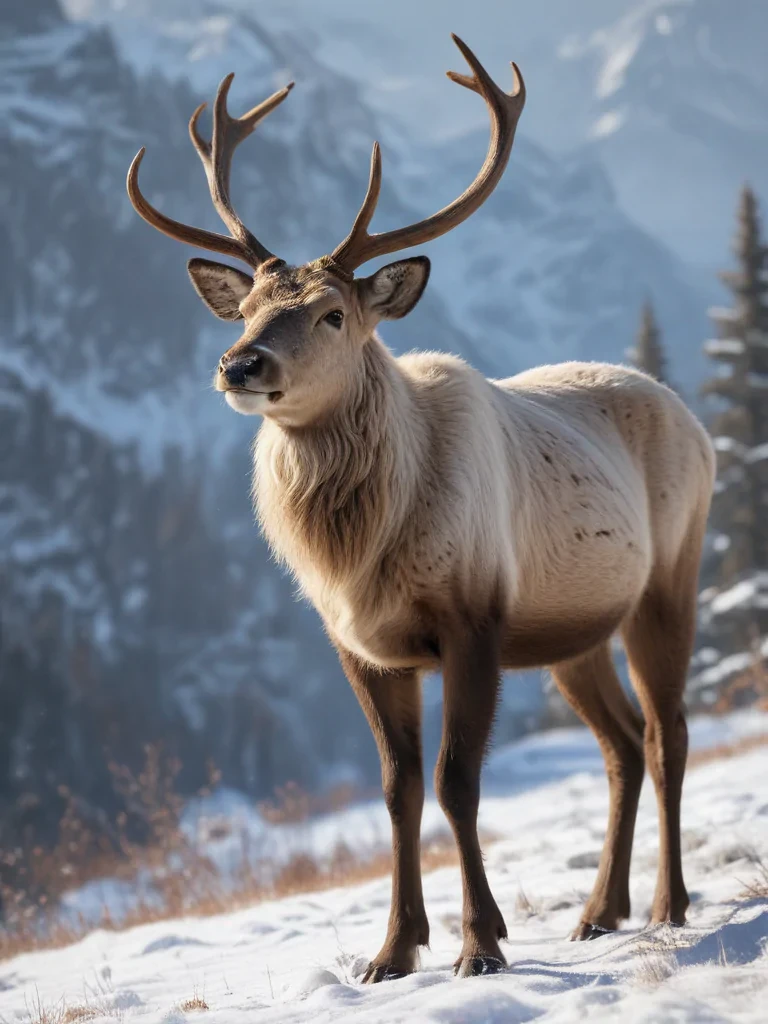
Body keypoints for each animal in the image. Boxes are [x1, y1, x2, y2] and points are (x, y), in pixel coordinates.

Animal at [127, 36, 715, 980]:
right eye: (247, 306)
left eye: (332, 314)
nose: (239, 363)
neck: (356, 558)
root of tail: (691, 417)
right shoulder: (361, 647)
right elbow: (396, 788)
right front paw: (394, 950)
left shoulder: (473, 617)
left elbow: (455, 782)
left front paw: (481, 942)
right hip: (571, 629)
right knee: (621, 744)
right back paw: (599, 911)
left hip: (670, 576)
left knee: (668, 734)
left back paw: (668, 902)